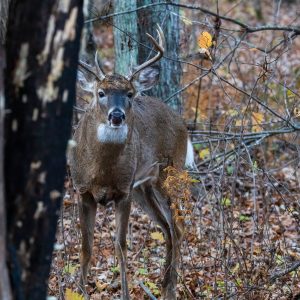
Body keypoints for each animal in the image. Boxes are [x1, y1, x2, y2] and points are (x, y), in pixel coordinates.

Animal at [68, 25, 195, 300]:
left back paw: (170, 288)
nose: (116, 115)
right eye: (100, 93)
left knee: (178, 225)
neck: (101, 172)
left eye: (129, 93)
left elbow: (121, 246)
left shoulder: (123, 191)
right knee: (167, 227)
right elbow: (86, 247)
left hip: (169, 171)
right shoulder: (82, 190)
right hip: (143, 187)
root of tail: (182, 122)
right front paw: (80, 292)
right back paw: (164, 284)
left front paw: (124, 293)